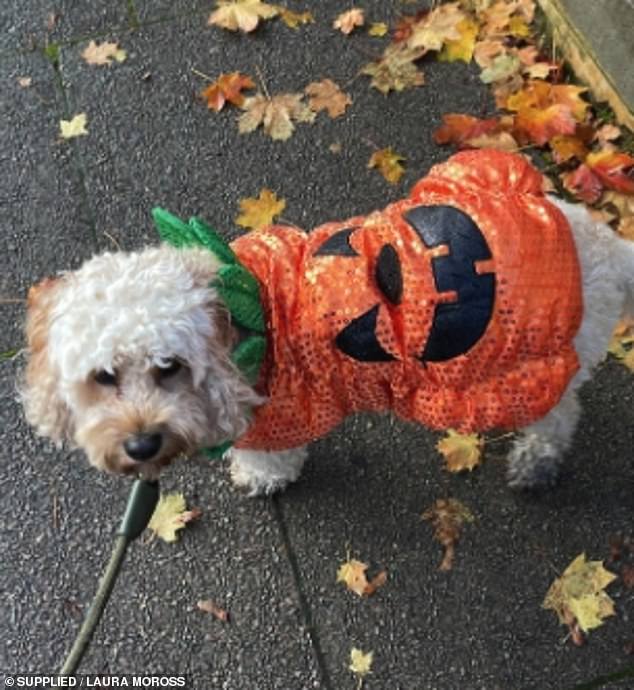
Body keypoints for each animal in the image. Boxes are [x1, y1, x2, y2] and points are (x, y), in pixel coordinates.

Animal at [21, 150, 632, 494]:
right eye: (104, 378)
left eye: (169, 367)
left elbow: (270, 458)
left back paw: (537, 461)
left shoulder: (276, 418)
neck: (245, 318)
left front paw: (260, 479)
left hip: (521, 371)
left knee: (560, 414)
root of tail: (597, 240)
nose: (142, 445)